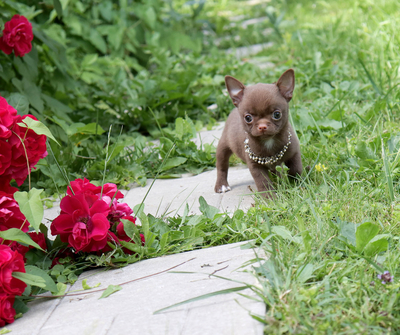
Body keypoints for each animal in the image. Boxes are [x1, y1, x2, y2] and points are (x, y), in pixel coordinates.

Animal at [214, 69, 302, 198]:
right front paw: (270, 197)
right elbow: (263, 181)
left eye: (277, 114)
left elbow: (296, 169)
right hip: (223, 147)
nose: (262, 126)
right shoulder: (255, 166)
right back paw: (221, 185)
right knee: (222, 166)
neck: (268, 141)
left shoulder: (294, 153)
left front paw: (299, 184)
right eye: (248, 118)